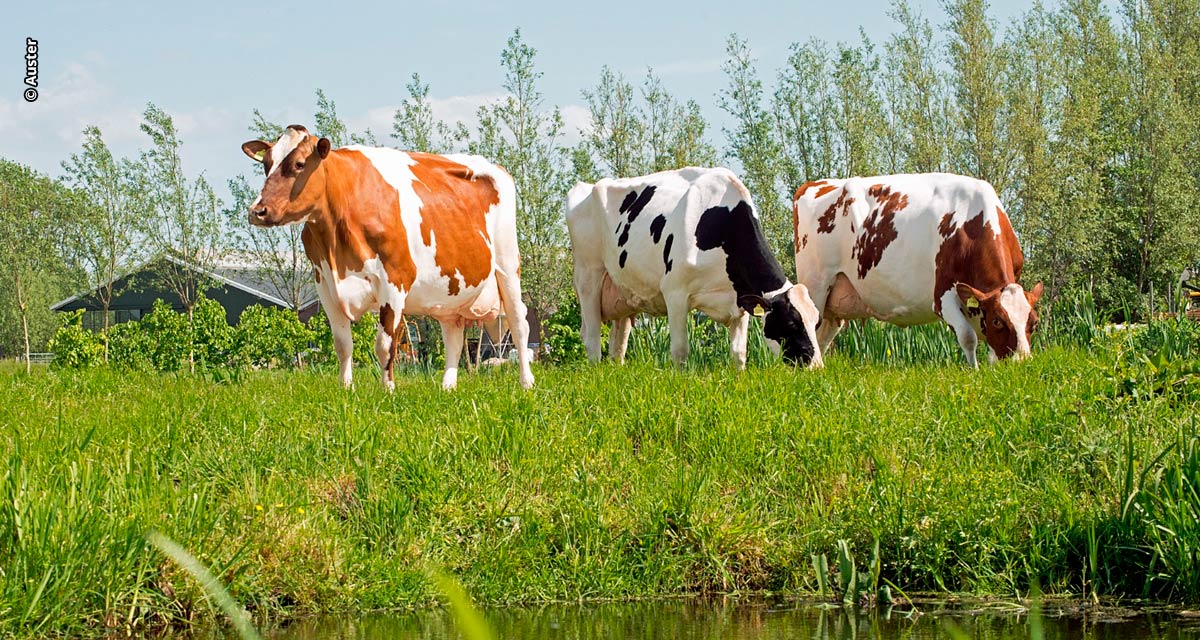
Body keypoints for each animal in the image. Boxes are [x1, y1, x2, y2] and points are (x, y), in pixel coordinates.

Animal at [238, 124, 530, 389]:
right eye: (266, 164)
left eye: (299, 164)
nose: (257, 211)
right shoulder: (325, 285)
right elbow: (342, 344)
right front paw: (345, 389)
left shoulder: (395, 280)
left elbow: (385, 345)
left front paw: (387, 390)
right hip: (450, 291)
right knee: (454, 336)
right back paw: (448, 387)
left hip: (508, 265)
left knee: (519, 322)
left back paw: (526, 383)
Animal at [566, 166, 820, 367]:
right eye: (791, 322)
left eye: (816, 320)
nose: (816, 366)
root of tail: (586, 186)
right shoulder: (675, 293)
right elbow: (680, 350)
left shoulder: (740, 300)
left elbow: (739, 353)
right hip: (589, 275)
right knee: (592, 339)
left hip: (623, 291)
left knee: (617, 345)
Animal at [787, 171, 1041, 367]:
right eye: (998, 321)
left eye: (1034, 322)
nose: (1021, 362)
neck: (973, 225)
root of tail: (816, 184)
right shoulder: (942, 296)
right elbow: (968, 337)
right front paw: (974, 371)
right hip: (816, 286)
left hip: (835, 301)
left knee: (824, 334)